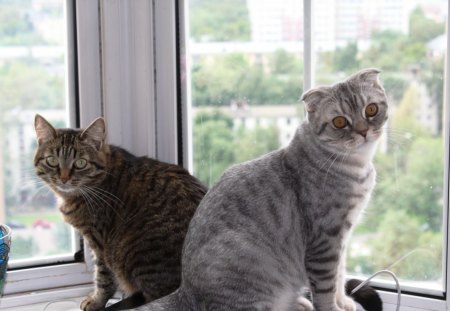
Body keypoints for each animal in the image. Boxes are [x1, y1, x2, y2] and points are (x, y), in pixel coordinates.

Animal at [134, 68, 386, 311]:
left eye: (371, 109)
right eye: (340, 122)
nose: (363, 131)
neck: (355, 165)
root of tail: (185, 291)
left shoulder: (342, 237)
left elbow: (340, 276)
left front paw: (343, 301)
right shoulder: (325, 240)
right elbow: (326, 288)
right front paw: (334, 307)